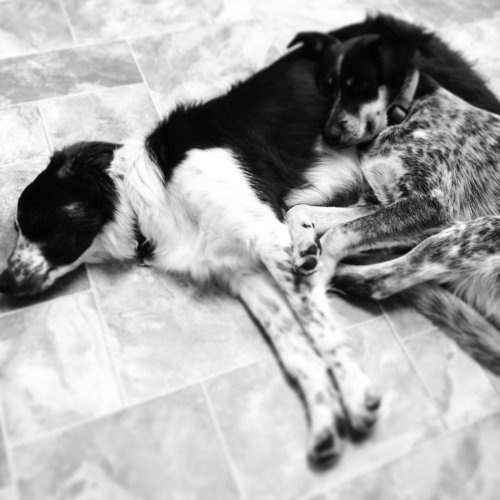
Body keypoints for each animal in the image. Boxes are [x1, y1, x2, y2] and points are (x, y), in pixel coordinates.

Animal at [285, 28, 500, 374]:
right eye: (328, 86)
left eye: (360, 85)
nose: (329, 136)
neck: (406, 112)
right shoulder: (382, 205)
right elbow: (299, 209)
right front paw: (305, 244)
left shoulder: (429, 206)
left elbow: (337, 235)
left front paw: (318, 274)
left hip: (473, 233)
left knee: (383, 283)